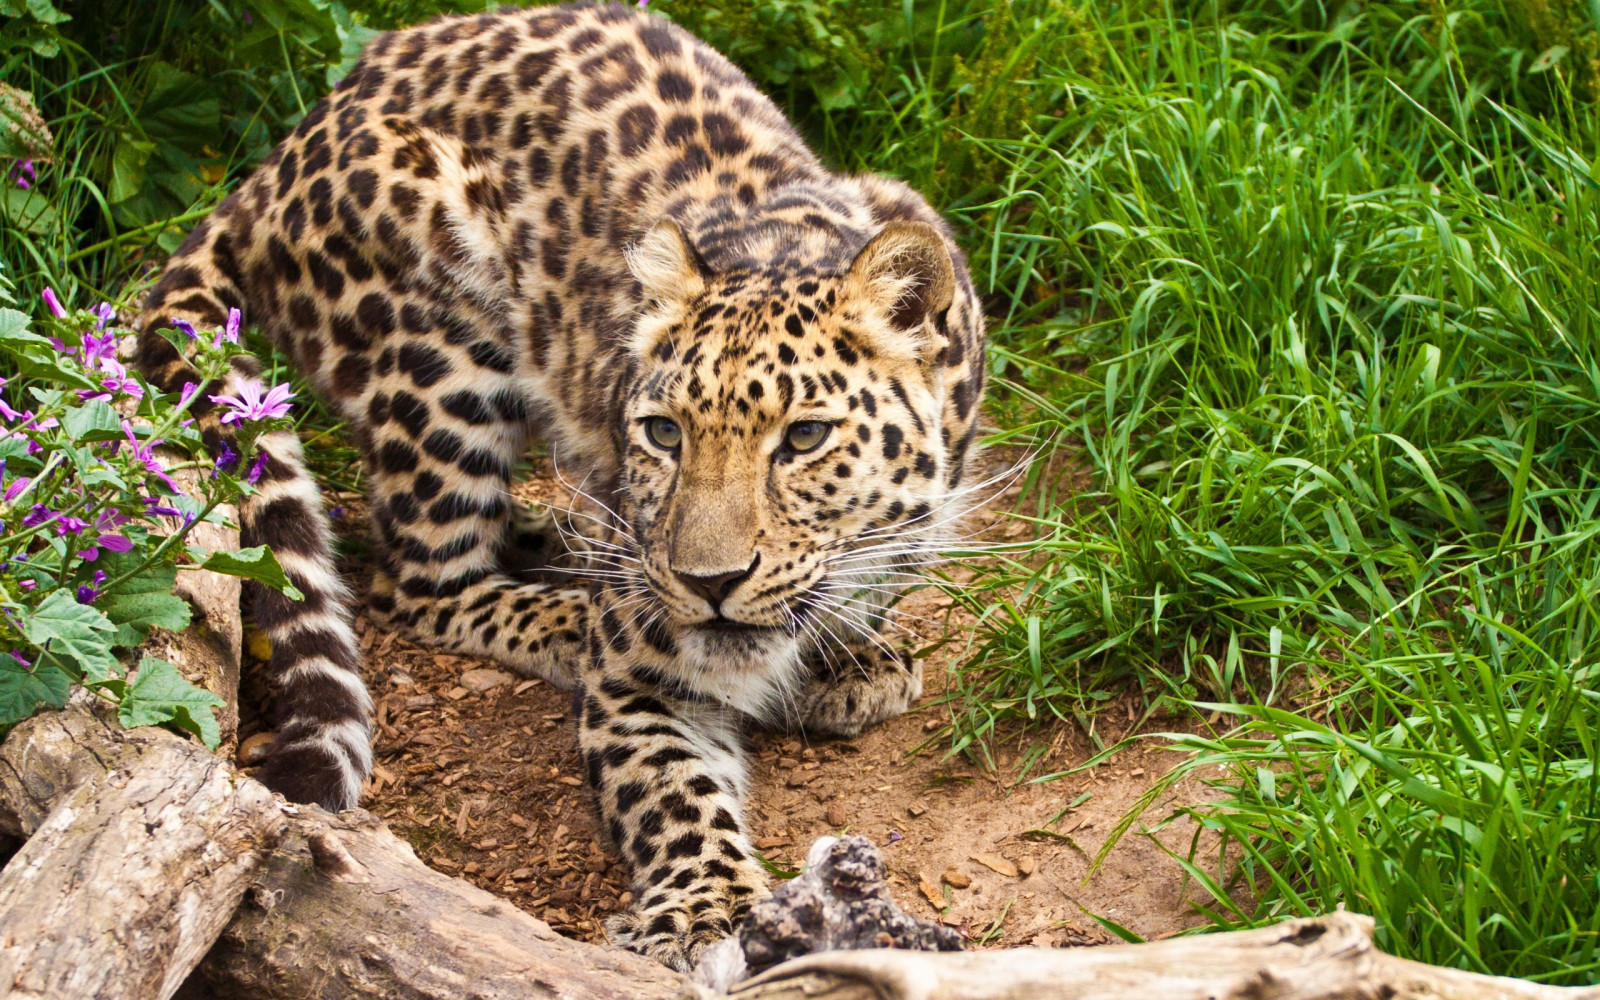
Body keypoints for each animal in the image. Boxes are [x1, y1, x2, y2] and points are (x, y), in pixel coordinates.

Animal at [130, 0, 986, 970]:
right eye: (663, 433)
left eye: (803, 438)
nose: (708, 584)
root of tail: (275, 161)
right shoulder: (639, 683)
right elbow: (674, 793)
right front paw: (706, 910)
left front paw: (854, 653)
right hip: (438, 358)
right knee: (419, 584)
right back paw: (568, 611)